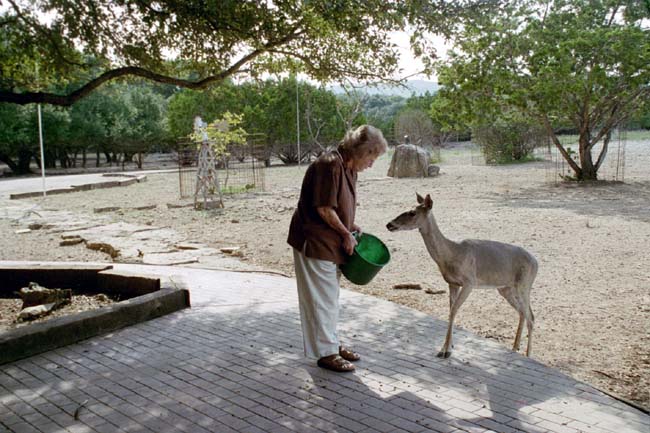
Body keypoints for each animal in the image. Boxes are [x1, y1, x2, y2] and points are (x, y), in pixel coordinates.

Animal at [388, 192, 536, 358]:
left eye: (412, 212)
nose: (389, 224)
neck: (452, 254)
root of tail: (536, 263)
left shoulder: (469, 281)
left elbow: (453, 310)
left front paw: (445, 350)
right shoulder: (452, 283)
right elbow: (451, 310)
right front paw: (447, 347)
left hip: (524, 283)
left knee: (531, 316)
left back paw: (527, 354)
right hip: (505, 288)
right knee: (522, 312)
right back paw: (515, 348)